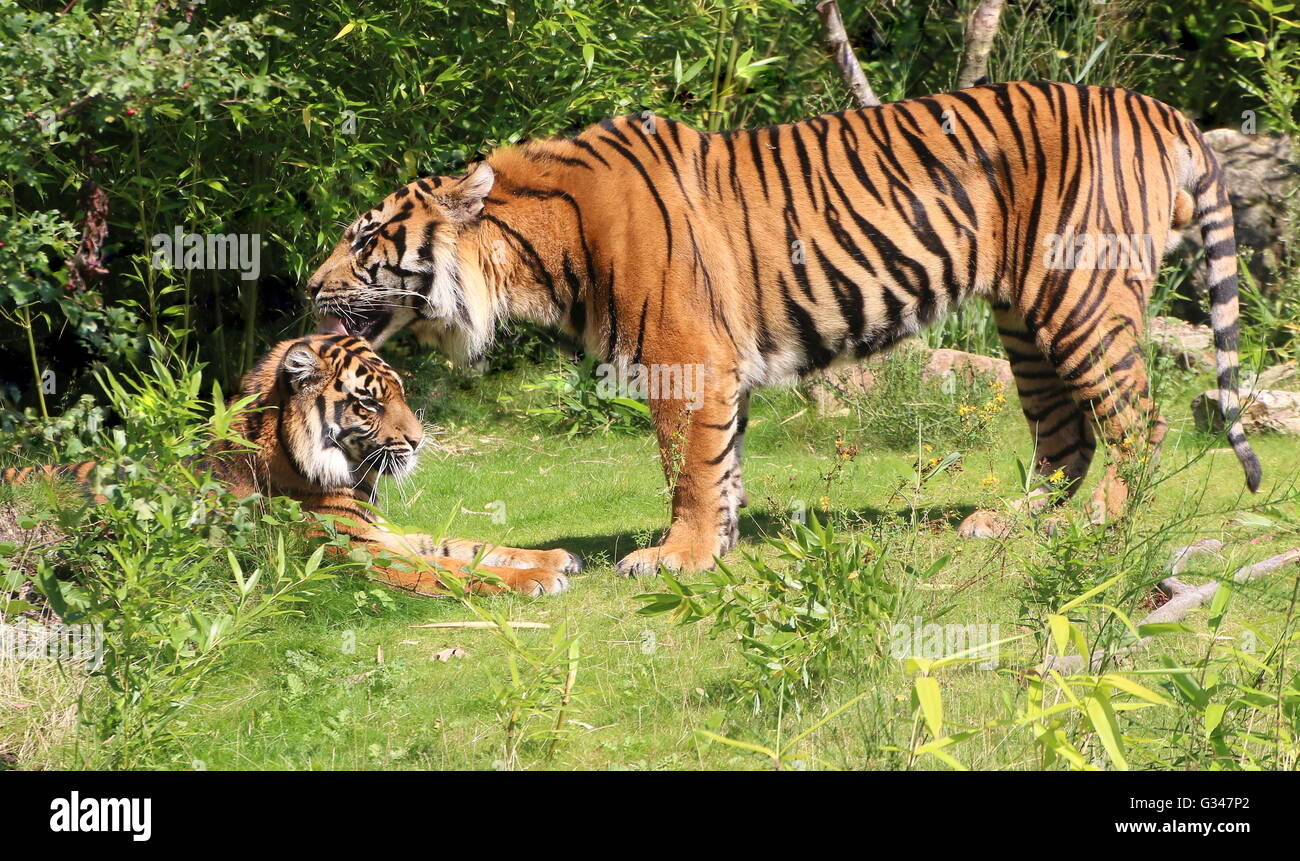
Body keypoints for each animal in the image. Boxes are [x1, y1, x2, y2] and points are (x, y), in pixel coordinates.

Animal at [0, 338, 579, 600]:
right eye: (370, 404)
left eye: (401, 393)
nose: (417, 441)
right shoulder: (356, 552)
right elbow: (451, 568)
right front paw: (534, 580)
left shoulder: (382, 533)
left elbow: (463, 545)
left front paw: (554, 558)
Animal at [304, 84, 1258, 577]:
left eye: (363, 238)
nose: (307, 287)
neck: (530, 257)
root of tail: (1159, 108)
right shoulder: (714, 366)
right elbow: (718, 466)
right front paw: (717, 546)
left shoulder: (685, 359)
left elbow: (687, 468)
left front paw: (677, 555)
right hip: (1024, 317)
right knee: (1065, 432)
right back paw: (1018, 519)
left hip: (1079, 293)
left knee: (1140, 419)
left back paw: (1095, 522)